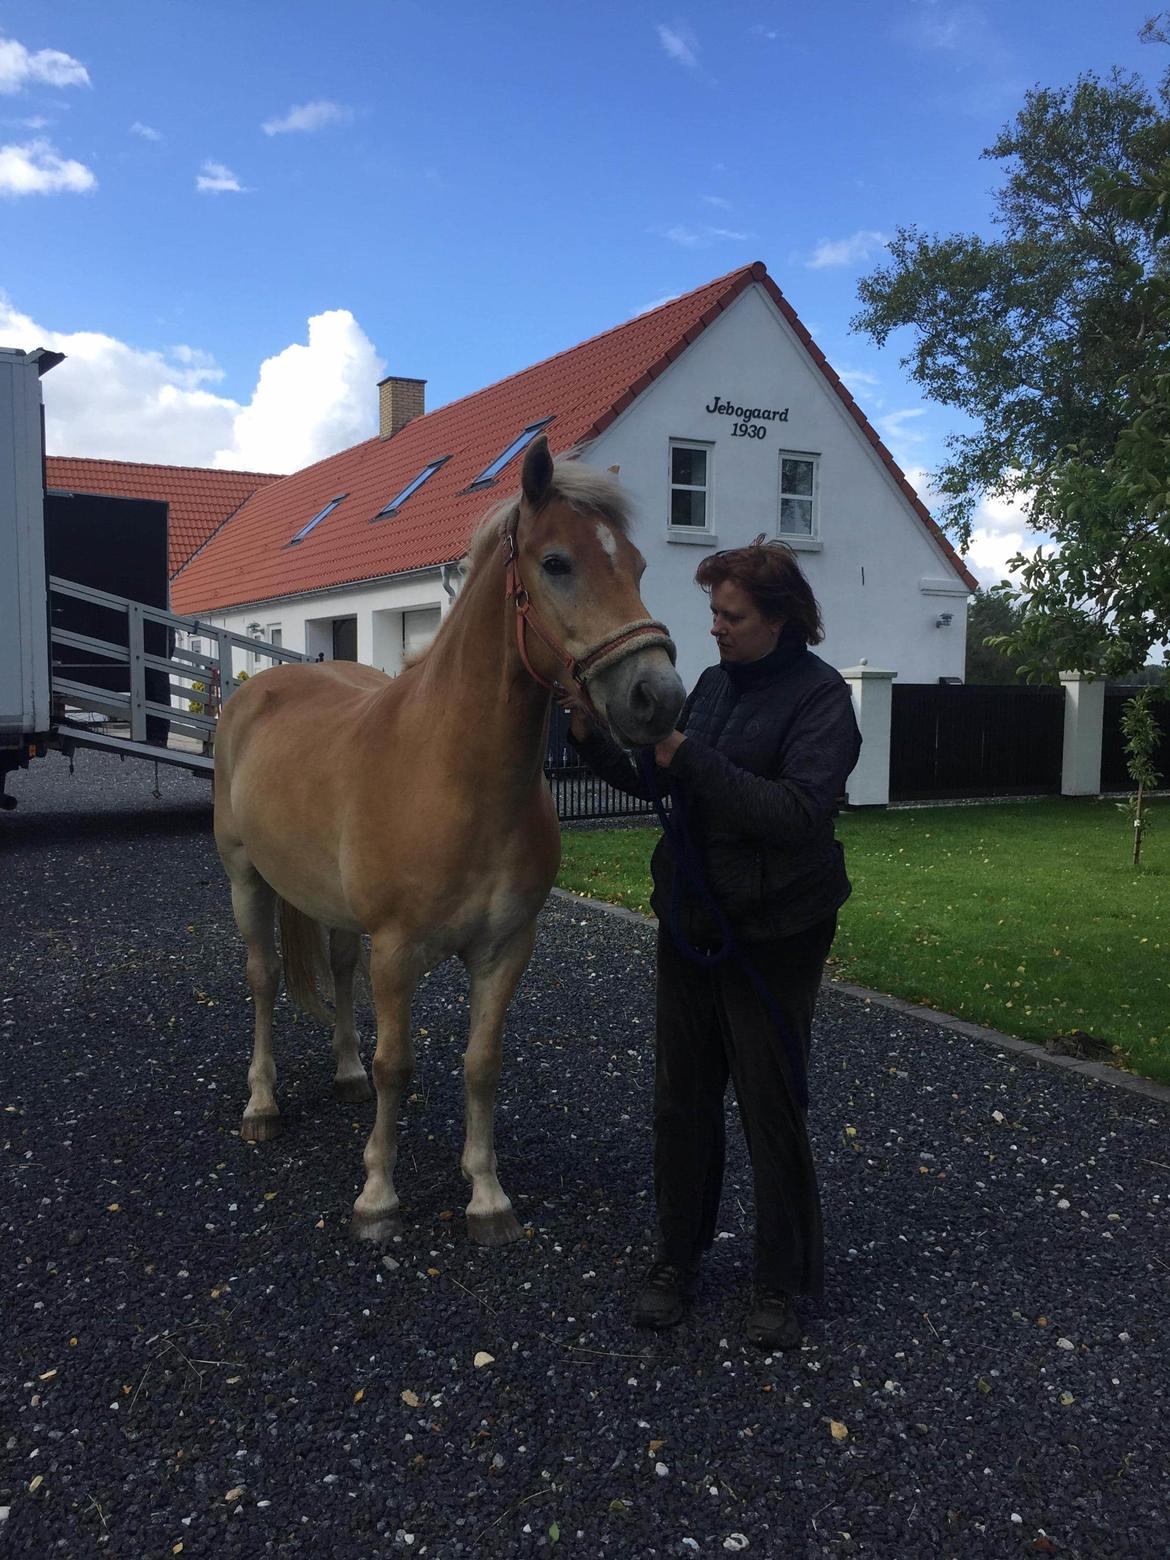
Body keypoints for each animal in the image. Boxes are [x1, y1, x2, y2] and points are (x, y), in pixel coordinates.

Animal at [215, 436, 686, 1241]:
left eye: (638, 565)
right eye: (556, 562)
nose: (658, 698)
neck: (455, 775)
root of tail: (255, 691)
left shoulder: (504, 948)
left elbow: (481, 1063)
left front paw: (487, 1196)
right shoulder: (399, 950)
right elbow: (398, 1067)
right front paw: (377, 1196)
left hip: (336, 912)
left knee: (338, 970)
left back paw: (343, 1073)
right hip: (248, 882)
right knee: (263, 979)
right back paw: (261, 1106)